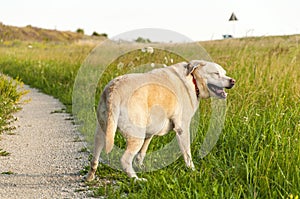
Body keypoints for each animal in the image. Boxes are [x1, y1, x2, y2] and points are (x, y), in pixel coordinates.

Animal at [85, 59, 236, 181]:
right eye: (216, 73)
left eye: (224, 73)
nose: (232, 81)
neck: (193, 80)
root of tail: (114, 89)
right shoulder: (182, 129)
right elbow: (187, 154)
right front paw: (192, 171)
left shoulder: (149, 132)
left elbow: (142, 152)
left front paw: (141, 166)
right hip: (136, 136)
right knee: (124, 160)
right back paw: (136, 179)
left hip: (102, 130)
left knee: (95, 156)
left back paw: (90, 177)